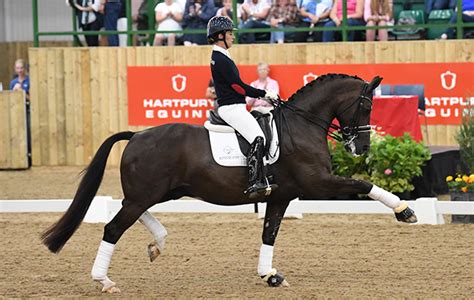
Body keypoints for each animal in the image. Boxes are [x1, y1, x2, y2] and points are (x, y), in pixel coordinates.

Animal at [42, 74, 416, 292]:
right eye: (367, 105)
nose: (361, 148)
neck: (301, 125)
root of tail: (136, 135)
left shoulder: (282, 196)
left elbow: (269, 233)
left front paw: (270, 275)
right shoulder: (319, 183)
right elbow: (363, 186)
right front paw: (405, 211)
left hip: (159, 192)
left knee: (128, 213)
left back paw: (157, 242)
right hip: (148, 193)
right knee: (114, 227)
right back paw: (104, 280)